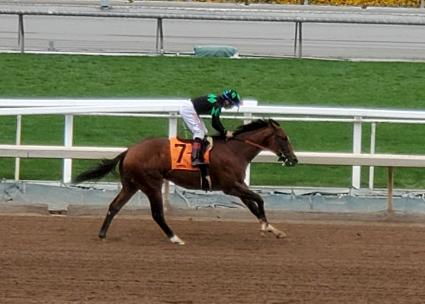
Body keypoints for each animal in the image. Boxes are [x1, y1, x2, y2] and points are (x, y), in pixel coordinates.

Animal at [73, 119, 296, 245]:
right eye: (284, 138)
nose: (293, 159)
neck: (235, 150)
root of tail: (129, 151)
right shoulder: (231, 187)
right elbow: (260, 200)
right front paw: (266, 227)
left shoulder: (237, 186)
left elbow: (254, 205)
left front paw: (274, 230)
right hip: (151, 184)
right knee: (157, 214)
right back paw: (175, 238)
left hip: (132, 184)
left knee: (114, 206)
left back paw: (102, 235)